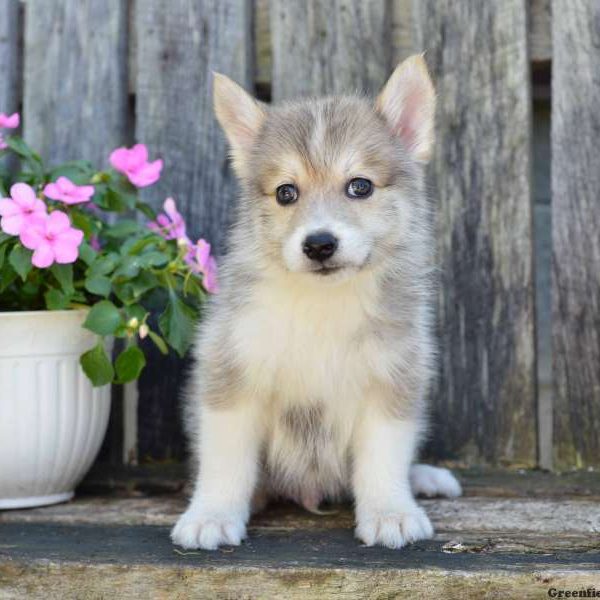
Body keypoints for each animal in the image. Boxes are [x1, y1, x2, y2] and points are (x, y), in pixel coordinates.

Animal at [171, 54, 462, 552]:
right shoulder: (232, 376)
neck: (322, 305)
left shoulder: (391, 379)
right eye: (286, 192)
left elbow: (383, 458)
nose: (320, 244)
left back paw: (424, 477)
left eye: (360, 186)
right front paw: (211, 515)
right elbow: (226, 462)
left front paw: (391, 513)